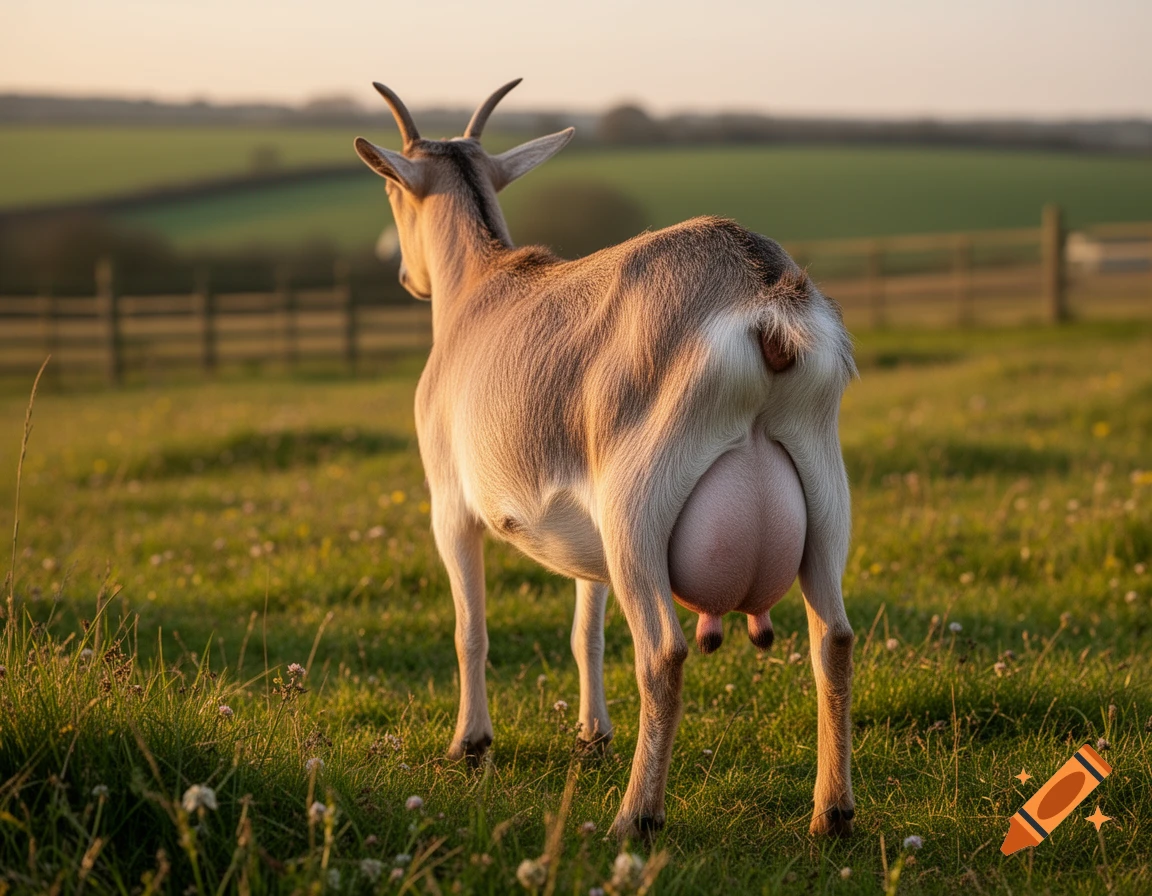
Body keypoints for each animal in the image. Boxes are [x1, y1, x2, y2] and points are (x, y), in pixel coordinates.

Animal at [354, 80, 857, 840]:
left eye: (390, 191)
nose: (410, 277)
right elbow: (584, 628)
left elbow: (471, 628)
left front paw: (469, 744)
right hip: (824, 491)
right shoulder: (578, 518)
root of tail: (765, 301)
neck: (480, 289)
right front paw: (593, 733)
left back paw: (635, 816)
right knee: (835, 638)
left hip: (636, 506)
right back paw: (832, 811)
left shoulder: (451, 505)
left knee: (663, 652)